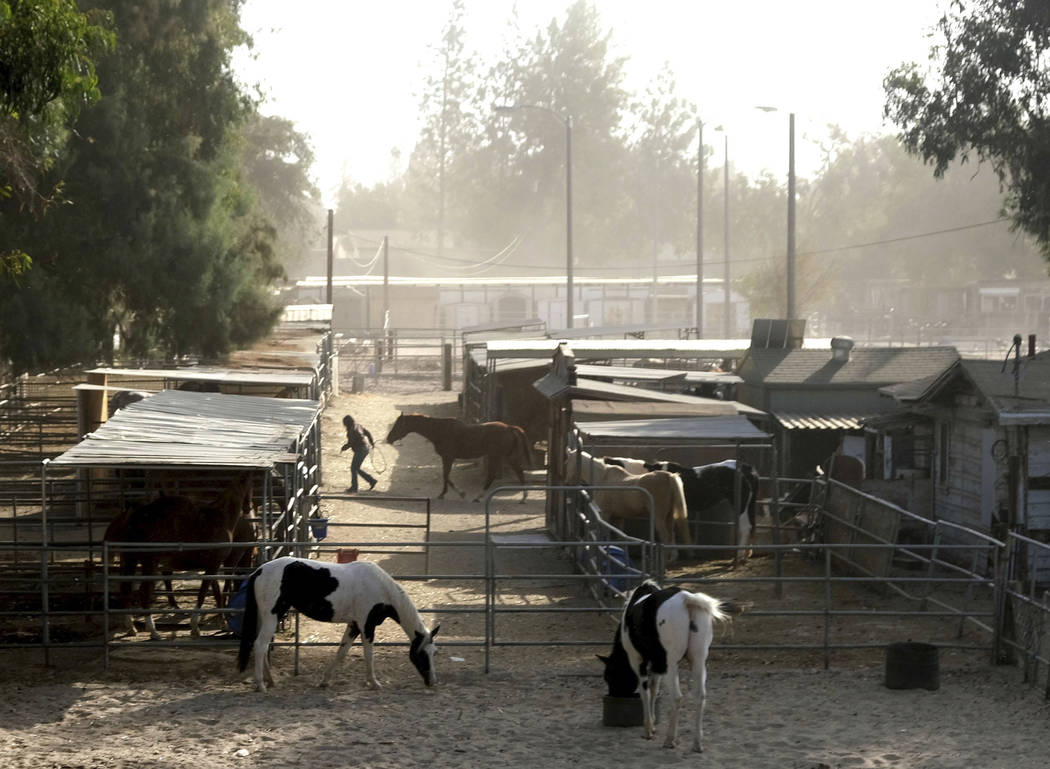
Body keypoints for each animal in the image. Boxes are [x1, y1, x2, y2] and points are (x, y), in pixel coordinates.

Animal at [108, 470, 254, 638]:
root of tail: (134, 516)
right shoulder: (214, 564)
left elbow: (216, 593)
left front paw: (223, 623)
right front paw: (195, 627)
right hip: (150, 562)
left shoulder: (213, 566)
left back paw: (131, 627)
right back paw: (153, 631)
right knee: (143, 592)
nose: (248, 507)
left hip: (131, 559)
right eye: (251, 486)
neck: (221, 517)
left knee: (125, 589)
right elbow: (203, 593)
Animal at [236, 554, 436, 689]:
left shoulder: (354, 625)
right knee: (260, 645)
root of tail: (259, 571)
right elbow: (368, 654)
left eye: (434, 652)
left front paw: (325, 681)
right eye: (422, 654)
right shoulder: (367, 626)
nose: (432, 681)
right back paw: (261, 685)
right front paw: (374, 682)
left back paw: (270, 680)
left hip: (265, 618)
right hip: (272, 616)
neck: (382, 589)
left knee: (261, 646)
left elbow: (341, 652)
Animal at [386, 411, 533, 502]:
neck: (439, 430)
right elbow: (446, 476)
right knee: (518, 472)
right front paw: (445, 494)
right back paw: (523, 497)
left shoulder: (448, 457)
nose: (388, 439)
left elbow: (446, 476)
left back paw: (479, 496)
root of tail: (509, 427)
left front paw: (457, 493)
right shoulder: (447, 458)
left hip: (496, 456)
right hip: (506, 456)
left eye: (398, 425)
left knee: (494, 475)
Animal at [600, 584, 747, 752]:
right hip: (698, 661)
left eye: (609, 675)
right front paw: (653, 724)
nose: (614, 694)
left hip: (671, 665)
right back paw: (697, 743)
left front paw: (648, 729)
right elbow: (654, 689)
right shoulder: (658, 664)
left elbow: (645, 692)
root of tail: (686, 598)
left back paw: (670, 740)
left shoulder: (638, 660)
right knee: (700, 696)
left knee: (677, 697)